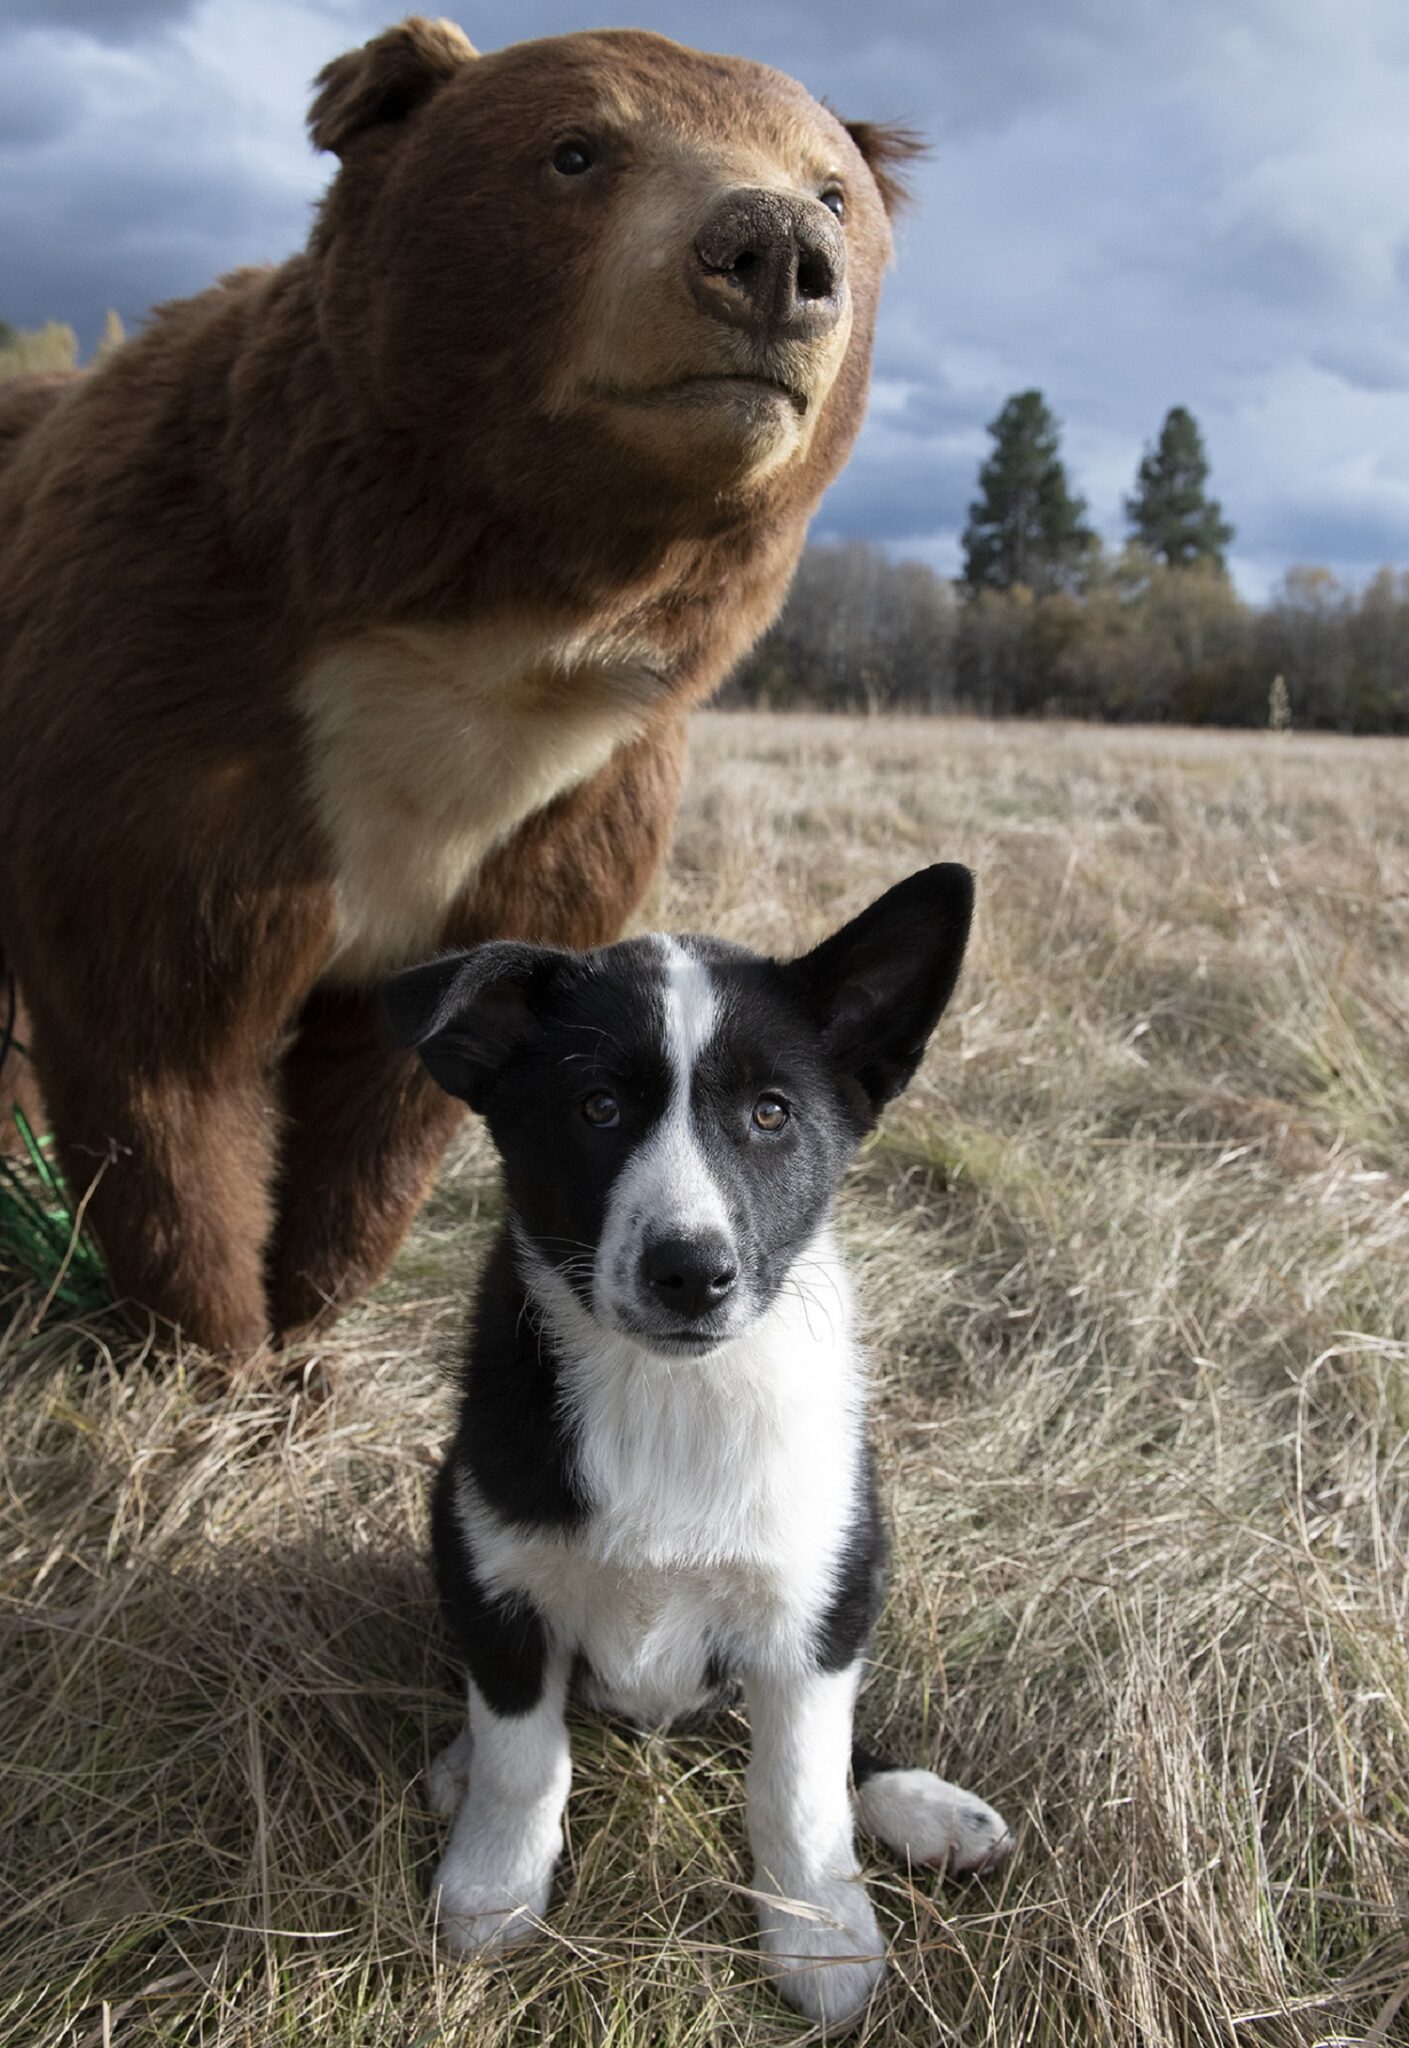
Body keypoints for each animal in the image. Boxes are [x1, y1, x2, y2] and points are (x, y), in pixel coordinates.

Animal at [0, 24, 913, 1359]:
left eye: (832, 189)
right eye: (575, 150)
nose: (775, 253)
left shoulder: (565, 810)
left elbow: (388, 1108)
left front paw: (306, 1321)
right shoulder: (167, 697)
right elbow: (162, 1038)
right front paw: (215, 1346)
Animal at [382, 868, 1011, 2031]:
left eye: (770, 1113)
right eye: (596, 1108)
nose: (690, 1273)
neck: (668, 1395)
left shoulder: (821, 1596)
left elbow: (798, 1786)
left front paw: (820, 1936)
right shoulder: (490, 1567)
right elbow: (523, 1752)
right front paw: (493, 1884)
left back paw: (922, 1806)